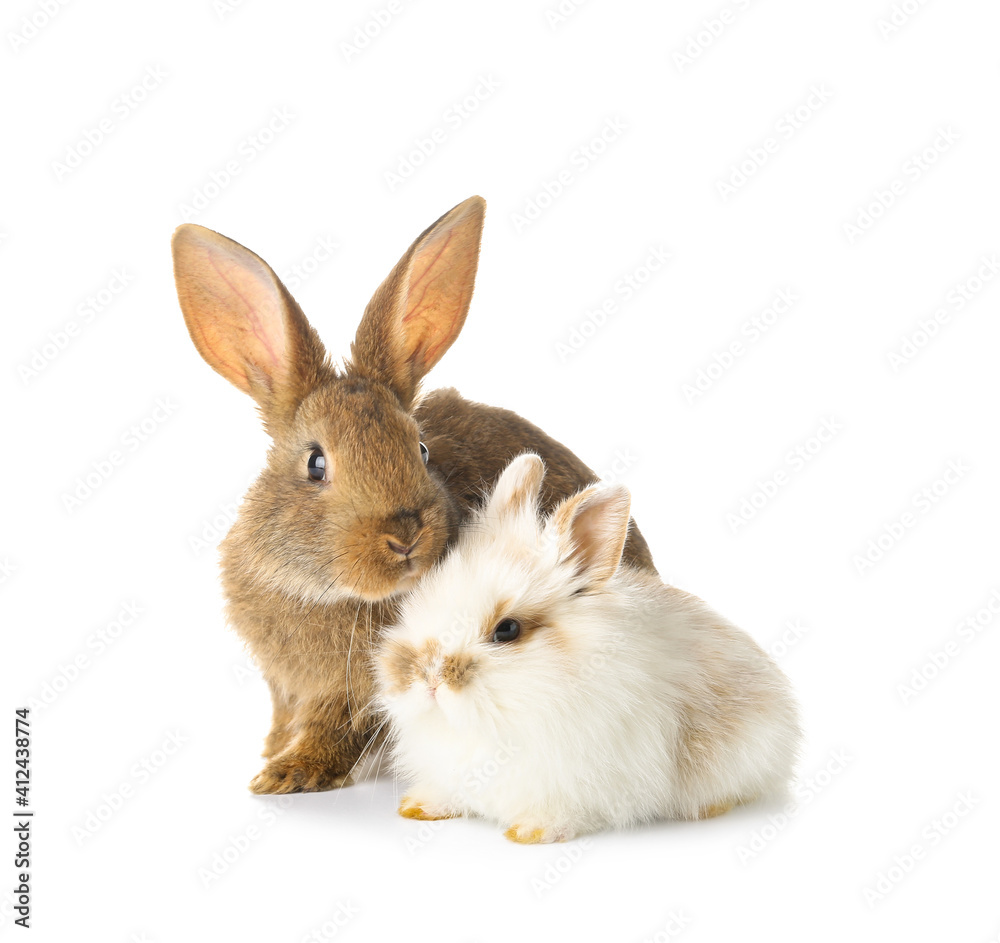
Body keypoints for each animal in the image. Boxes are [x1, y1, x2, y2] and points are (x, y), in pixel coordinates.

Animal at [170, 196, 657, 794]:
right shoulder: (283, 683)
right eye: (315, 463)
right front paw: (271, 754)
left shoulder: (353, 695)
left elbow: (334, 731)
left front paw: (287, 773)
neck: (332, 593)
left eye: (421, 449)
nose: (404, 536)